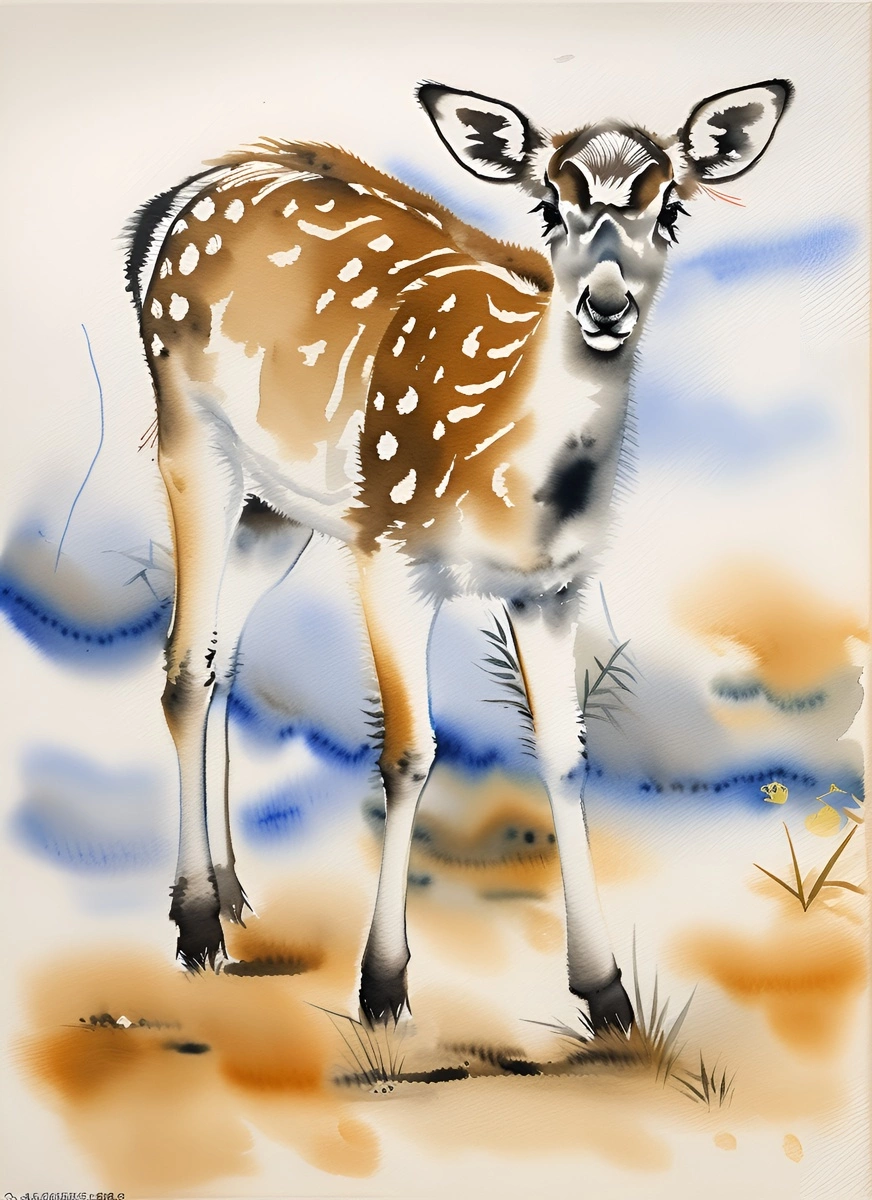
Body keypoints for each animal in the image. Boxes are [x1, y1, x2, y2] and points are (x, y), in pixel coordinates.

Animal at [125, 77, 792, 1031]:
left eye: (671, 208)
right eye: (549, 202)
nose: (605, 304)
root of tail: (180, 200)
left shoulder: (555, 587)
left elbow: (565, 752)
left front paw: (606, 994)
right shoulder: (389, 549)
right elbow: (410, 753)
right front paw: (382, 987)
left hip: (281, 505)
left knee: (224, 655)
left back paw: (231, 891)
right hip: (190, 433)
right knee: (184, 662)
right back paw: (195, 925)